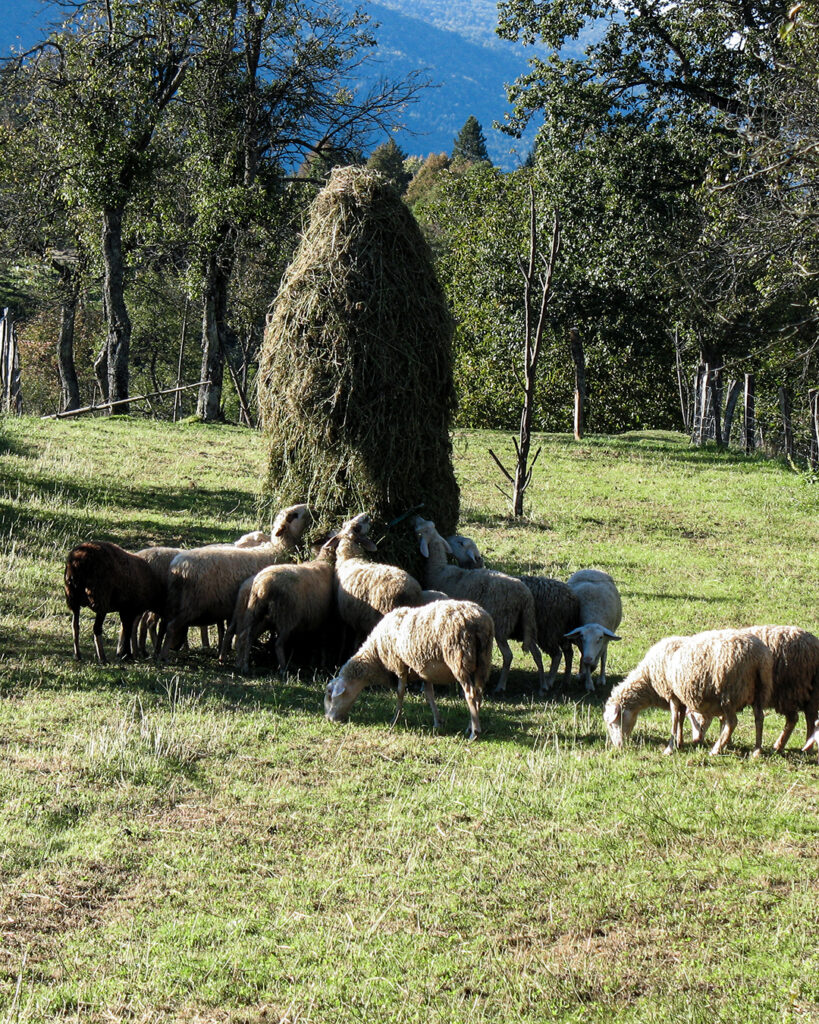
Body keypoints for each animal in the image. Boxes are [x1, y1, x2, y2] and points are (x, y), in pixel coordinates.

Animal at [157, 503, 311, 660]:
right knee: (171, 627)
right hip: (191, 604)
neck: (278, 549)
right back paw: (165, 656)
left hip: (176, 602)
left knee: (165, 625)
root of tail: (178, 566)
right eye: (294, 515)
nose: (310, 506)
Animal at [324, 599, 495, 739]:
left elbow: (400, 692)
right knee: (478, 694)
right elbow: (429, 695)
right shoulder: (424, 671)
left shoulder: (399, 665)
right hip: (482, 662)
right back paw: (470, 727)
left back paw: (474, 733)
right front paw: (437, 722)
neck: (376, 655)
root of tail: (479, 621)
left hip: (459, 660)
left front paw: (394, 720)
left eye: (330, 694)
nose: (329, 719)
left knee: (470, 694)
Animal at [414, 517, 545, 694]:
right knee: (536, 652)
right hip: (526, 624)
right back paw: (543, 685)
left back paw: (500, 686)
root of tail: (526, 596)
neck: (439, 569)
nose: (416, 518)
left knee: (508, 655)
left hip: (501, 624)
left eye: (461, 543)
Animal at [604, 629, 773, 755]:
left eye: (612, 723)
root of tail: (758, 656)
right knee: (759, 718)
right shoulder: (681, 696)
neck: (648, 680)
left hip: (729, 693)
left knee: (732, 722)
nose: (618, 746)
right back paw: (756, 751)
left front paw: (670, 748)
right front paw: (679, 742)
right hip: (760, 691)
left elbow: (674, 720)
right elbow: (680, 719)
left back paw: (716, 750)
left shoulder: (671, 693)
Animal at [689, 625, 819, 754]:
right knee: (810, 716)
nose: (696, 741)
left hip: (789, 690)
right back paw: (803, 747)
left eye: (693, 716)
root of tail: (814, 644)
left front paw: (725, 742)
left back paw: (785, 747)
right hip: (809, 690)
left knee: (796, 718)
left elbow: (724, 719)